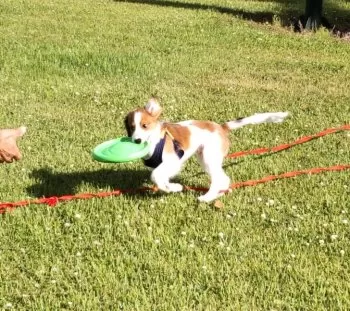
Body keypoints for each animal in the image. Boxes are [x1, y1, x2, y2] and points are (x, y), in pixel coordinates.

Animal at [124, 98, 288, 204]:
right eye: (132, 127)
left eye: (145, 126)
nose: (136, 140)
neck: (155, 140)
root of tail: (221, 127)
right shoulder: (165, 166)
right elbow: (160, 178)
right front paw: (171, 188)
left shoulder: (173, 161)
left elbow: (155, 176)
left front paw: (174, 187)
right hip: (205, 157)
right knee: (224, 179)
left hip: (209, 157)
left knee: (220, 179)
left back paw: (208, 197)